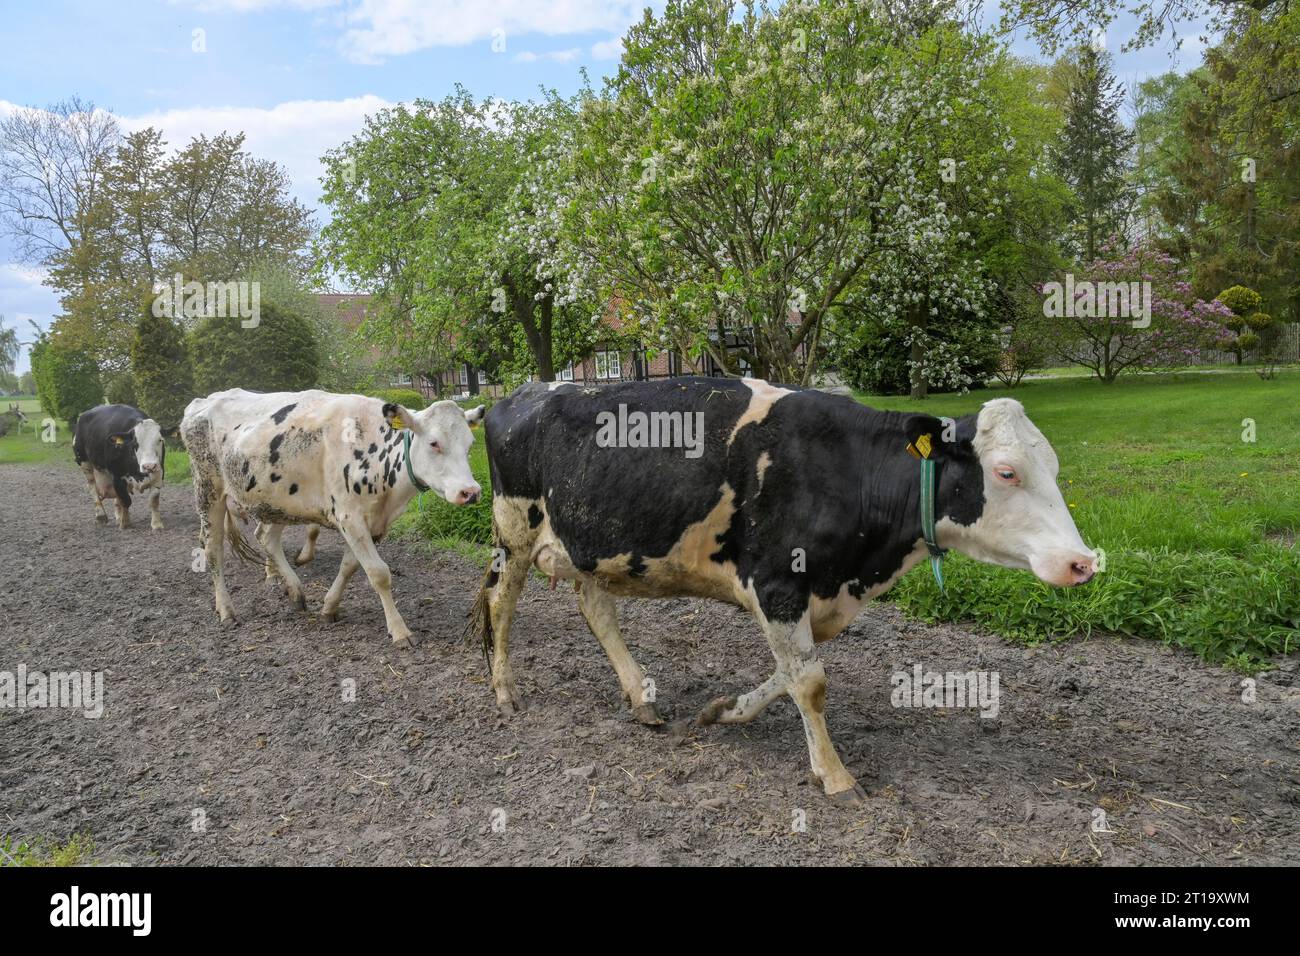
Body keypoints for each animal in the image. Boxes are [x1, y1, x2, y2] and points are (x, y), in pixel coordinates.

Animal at [180, 385, 486, 647]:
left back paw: (295, 591)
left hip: (275, 500)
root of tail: (203, 401)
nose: (470, 491)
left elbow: (350, 566)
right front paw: (400, 630)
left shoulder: (371, 522)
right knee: (213, 550)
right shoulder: (350, 516)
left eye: (470, 444)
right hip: (208, 491)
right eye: (434, 443)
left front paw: (329, 606)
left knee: (267, 538)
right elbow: (379, 573)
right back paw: (227, 610)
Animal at [473, 377, 1092, 806]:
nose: (1082, 562)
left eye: (1055, 465)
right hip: (515, 530)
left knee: (596, 608)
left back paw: (641, 698)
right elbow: (810, 682)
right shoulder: (776, 582)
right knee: (501, 602)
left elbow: (790, 674)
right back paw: (504, 690)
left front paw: (722, 711)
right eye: (1007, 472)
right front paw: (836, 777)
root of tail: (526, 390)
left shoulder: (813, 597)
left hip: (589, 545)